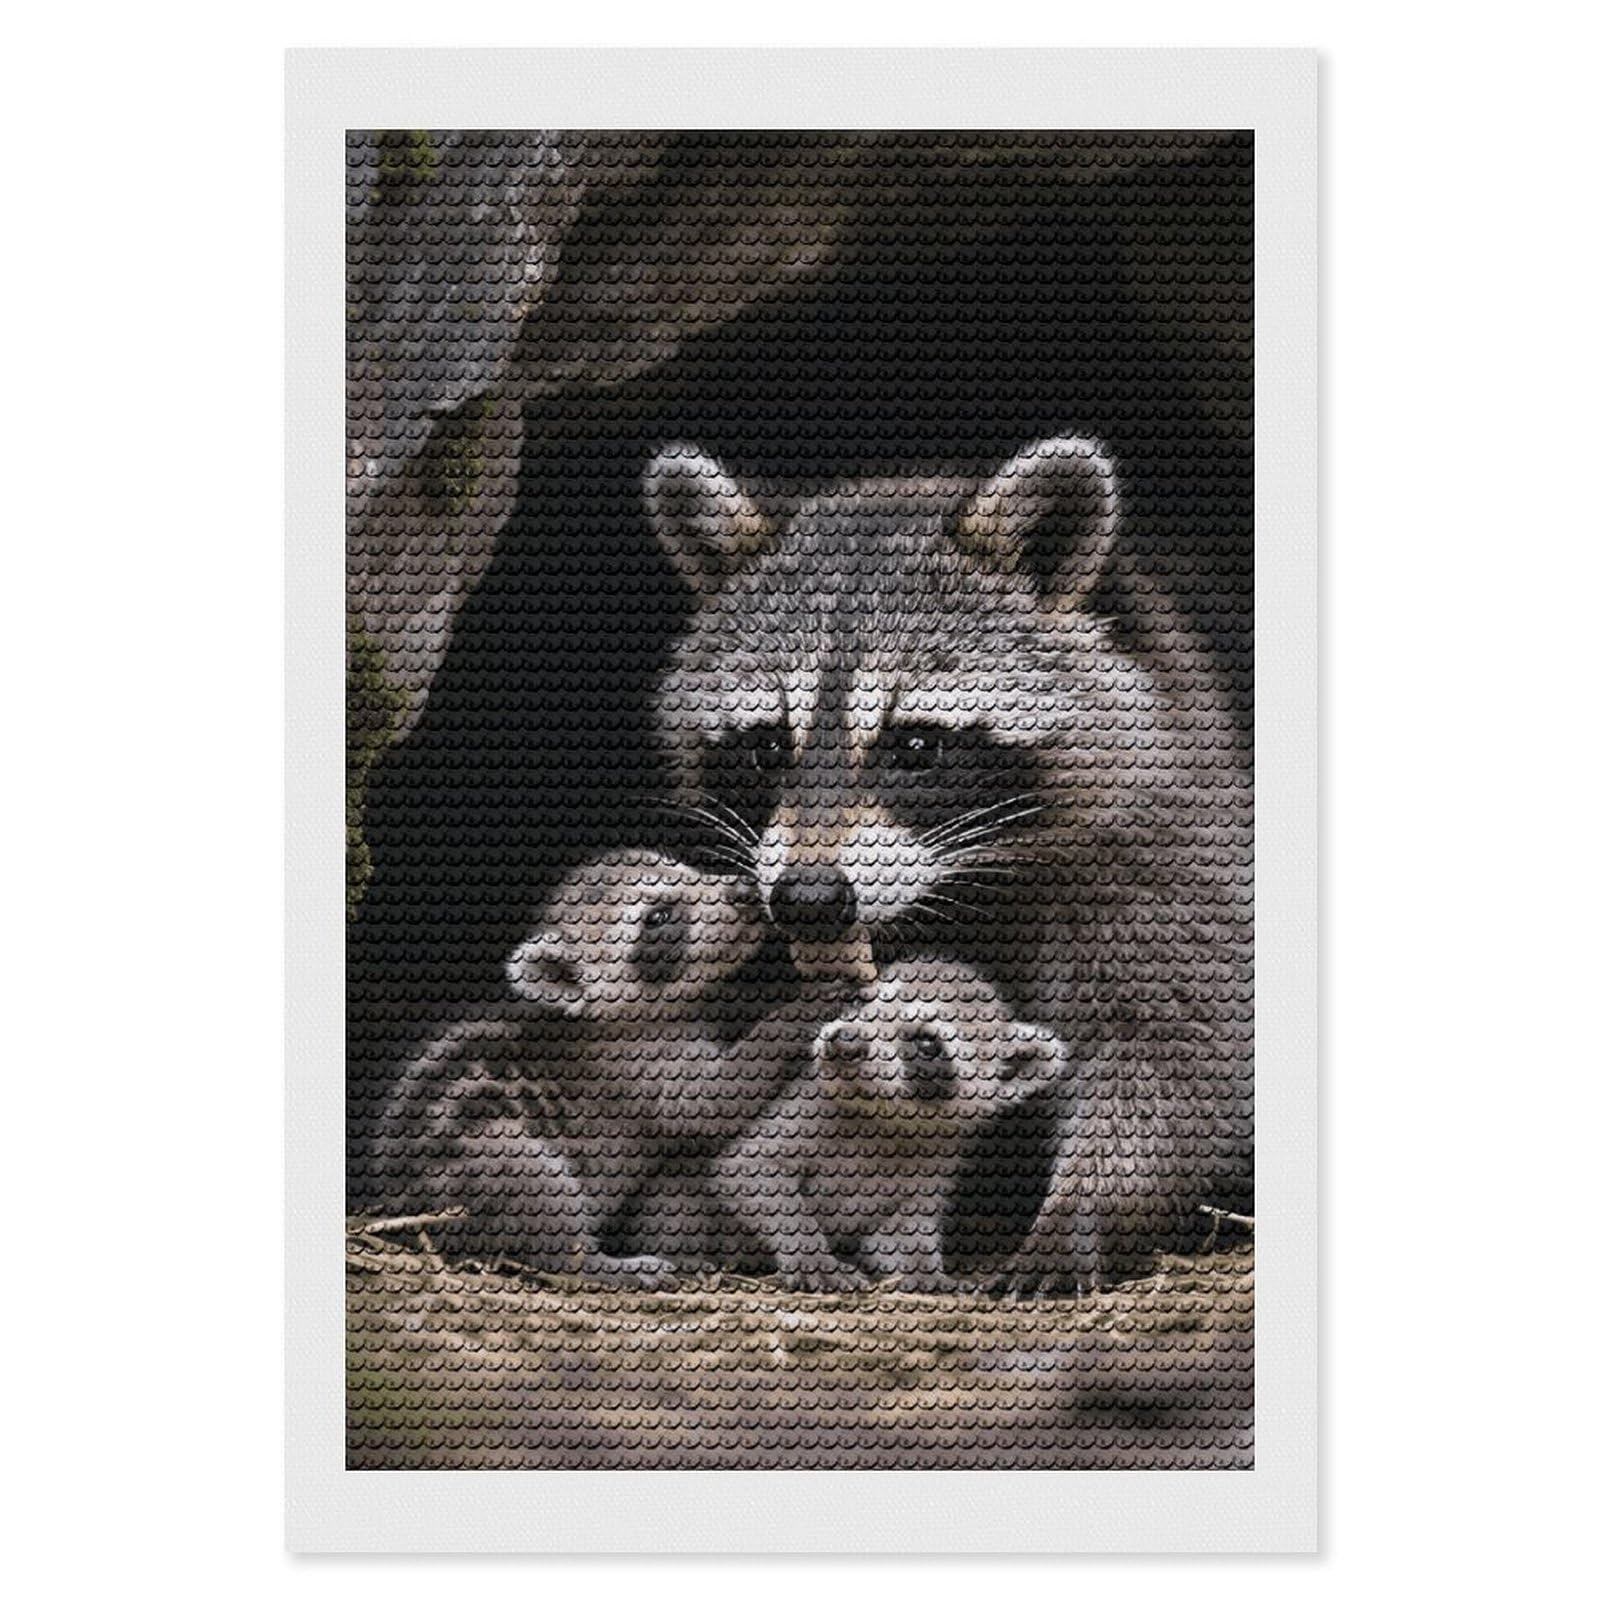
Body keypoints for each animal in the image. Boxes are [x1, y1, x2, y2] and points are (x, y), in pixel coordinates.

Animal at [713, 958, 1067, 1293]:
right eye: (858, 1001)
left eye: (926, 1044)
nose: (845, 1042)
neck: (884, 1119)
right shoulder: (804, 1109)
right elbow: (751, 1167)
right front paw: (809, 1252)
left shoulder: (937, 1163)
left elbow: (901, 1229)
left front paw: (923, 1270)